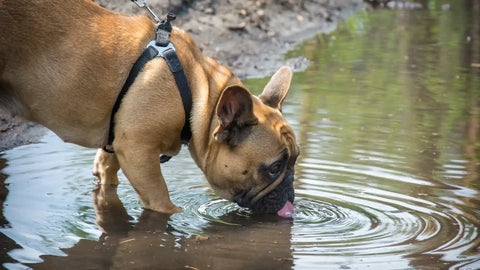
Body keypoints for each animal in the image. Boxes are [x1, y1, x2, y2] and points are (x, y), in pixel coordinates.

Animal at [0, 0, 298, 216]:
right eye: (274, 168)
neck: (198, 93)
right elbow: (162, 200)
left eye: (294, 161)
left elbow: (107, 168)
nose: (292, 193)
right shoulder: (138, 152)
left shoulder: (119, 140)